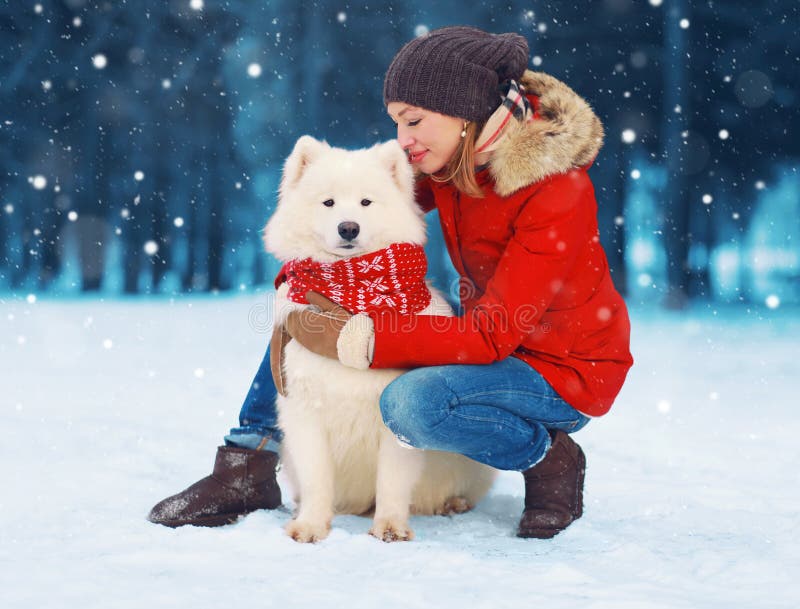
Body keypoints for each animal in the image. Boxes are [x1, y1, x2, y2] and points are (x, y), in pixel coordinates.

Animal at [266, 137, 496, 540]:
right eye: (328, 202)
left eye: (365, 202)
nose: (348, 228)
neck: (352, 299)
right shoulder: (306, 414)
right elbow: (317, 480)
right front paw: (310, 526)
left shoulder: (394, 425)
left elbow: (392, 481)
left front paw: (389, 527)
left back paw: (452, 503)